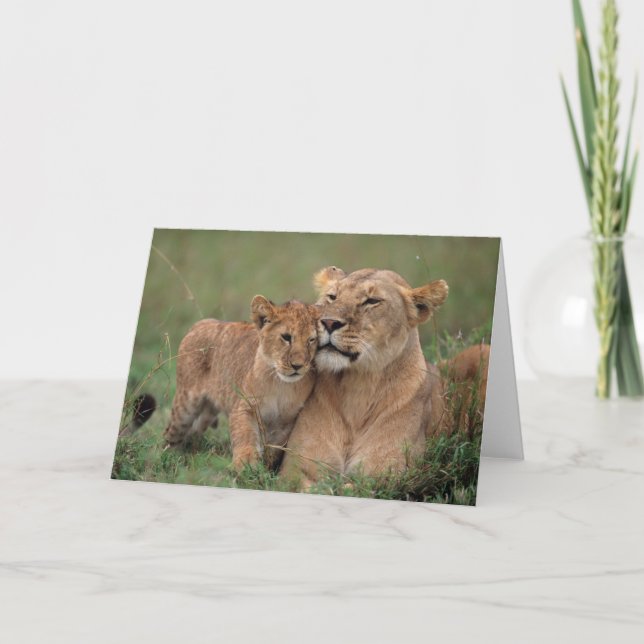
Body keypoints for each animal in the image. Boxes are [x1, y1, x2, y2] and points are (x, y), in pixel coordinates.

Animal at [164, 296, 319, 469]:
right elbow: (245, 435)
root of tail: (201, 323)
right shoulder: (244, 407)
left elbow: (273, 448)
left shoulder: (286, 422)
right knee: (171, 433)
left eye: (311, 340)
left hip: (206, 413)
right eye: (286, 337)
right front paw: (245, 463)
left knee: (192, 433)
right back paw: (166, 457)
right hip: (185, 406)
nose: (298, 366)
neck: (281, 385)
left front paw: (265, 467)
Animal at [280, 266, 489, 487]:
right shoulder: (295, 468)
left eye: (372, 301)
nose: (328, 322)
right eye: (332, 297)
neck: (357, 387)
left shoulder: (387, 473)